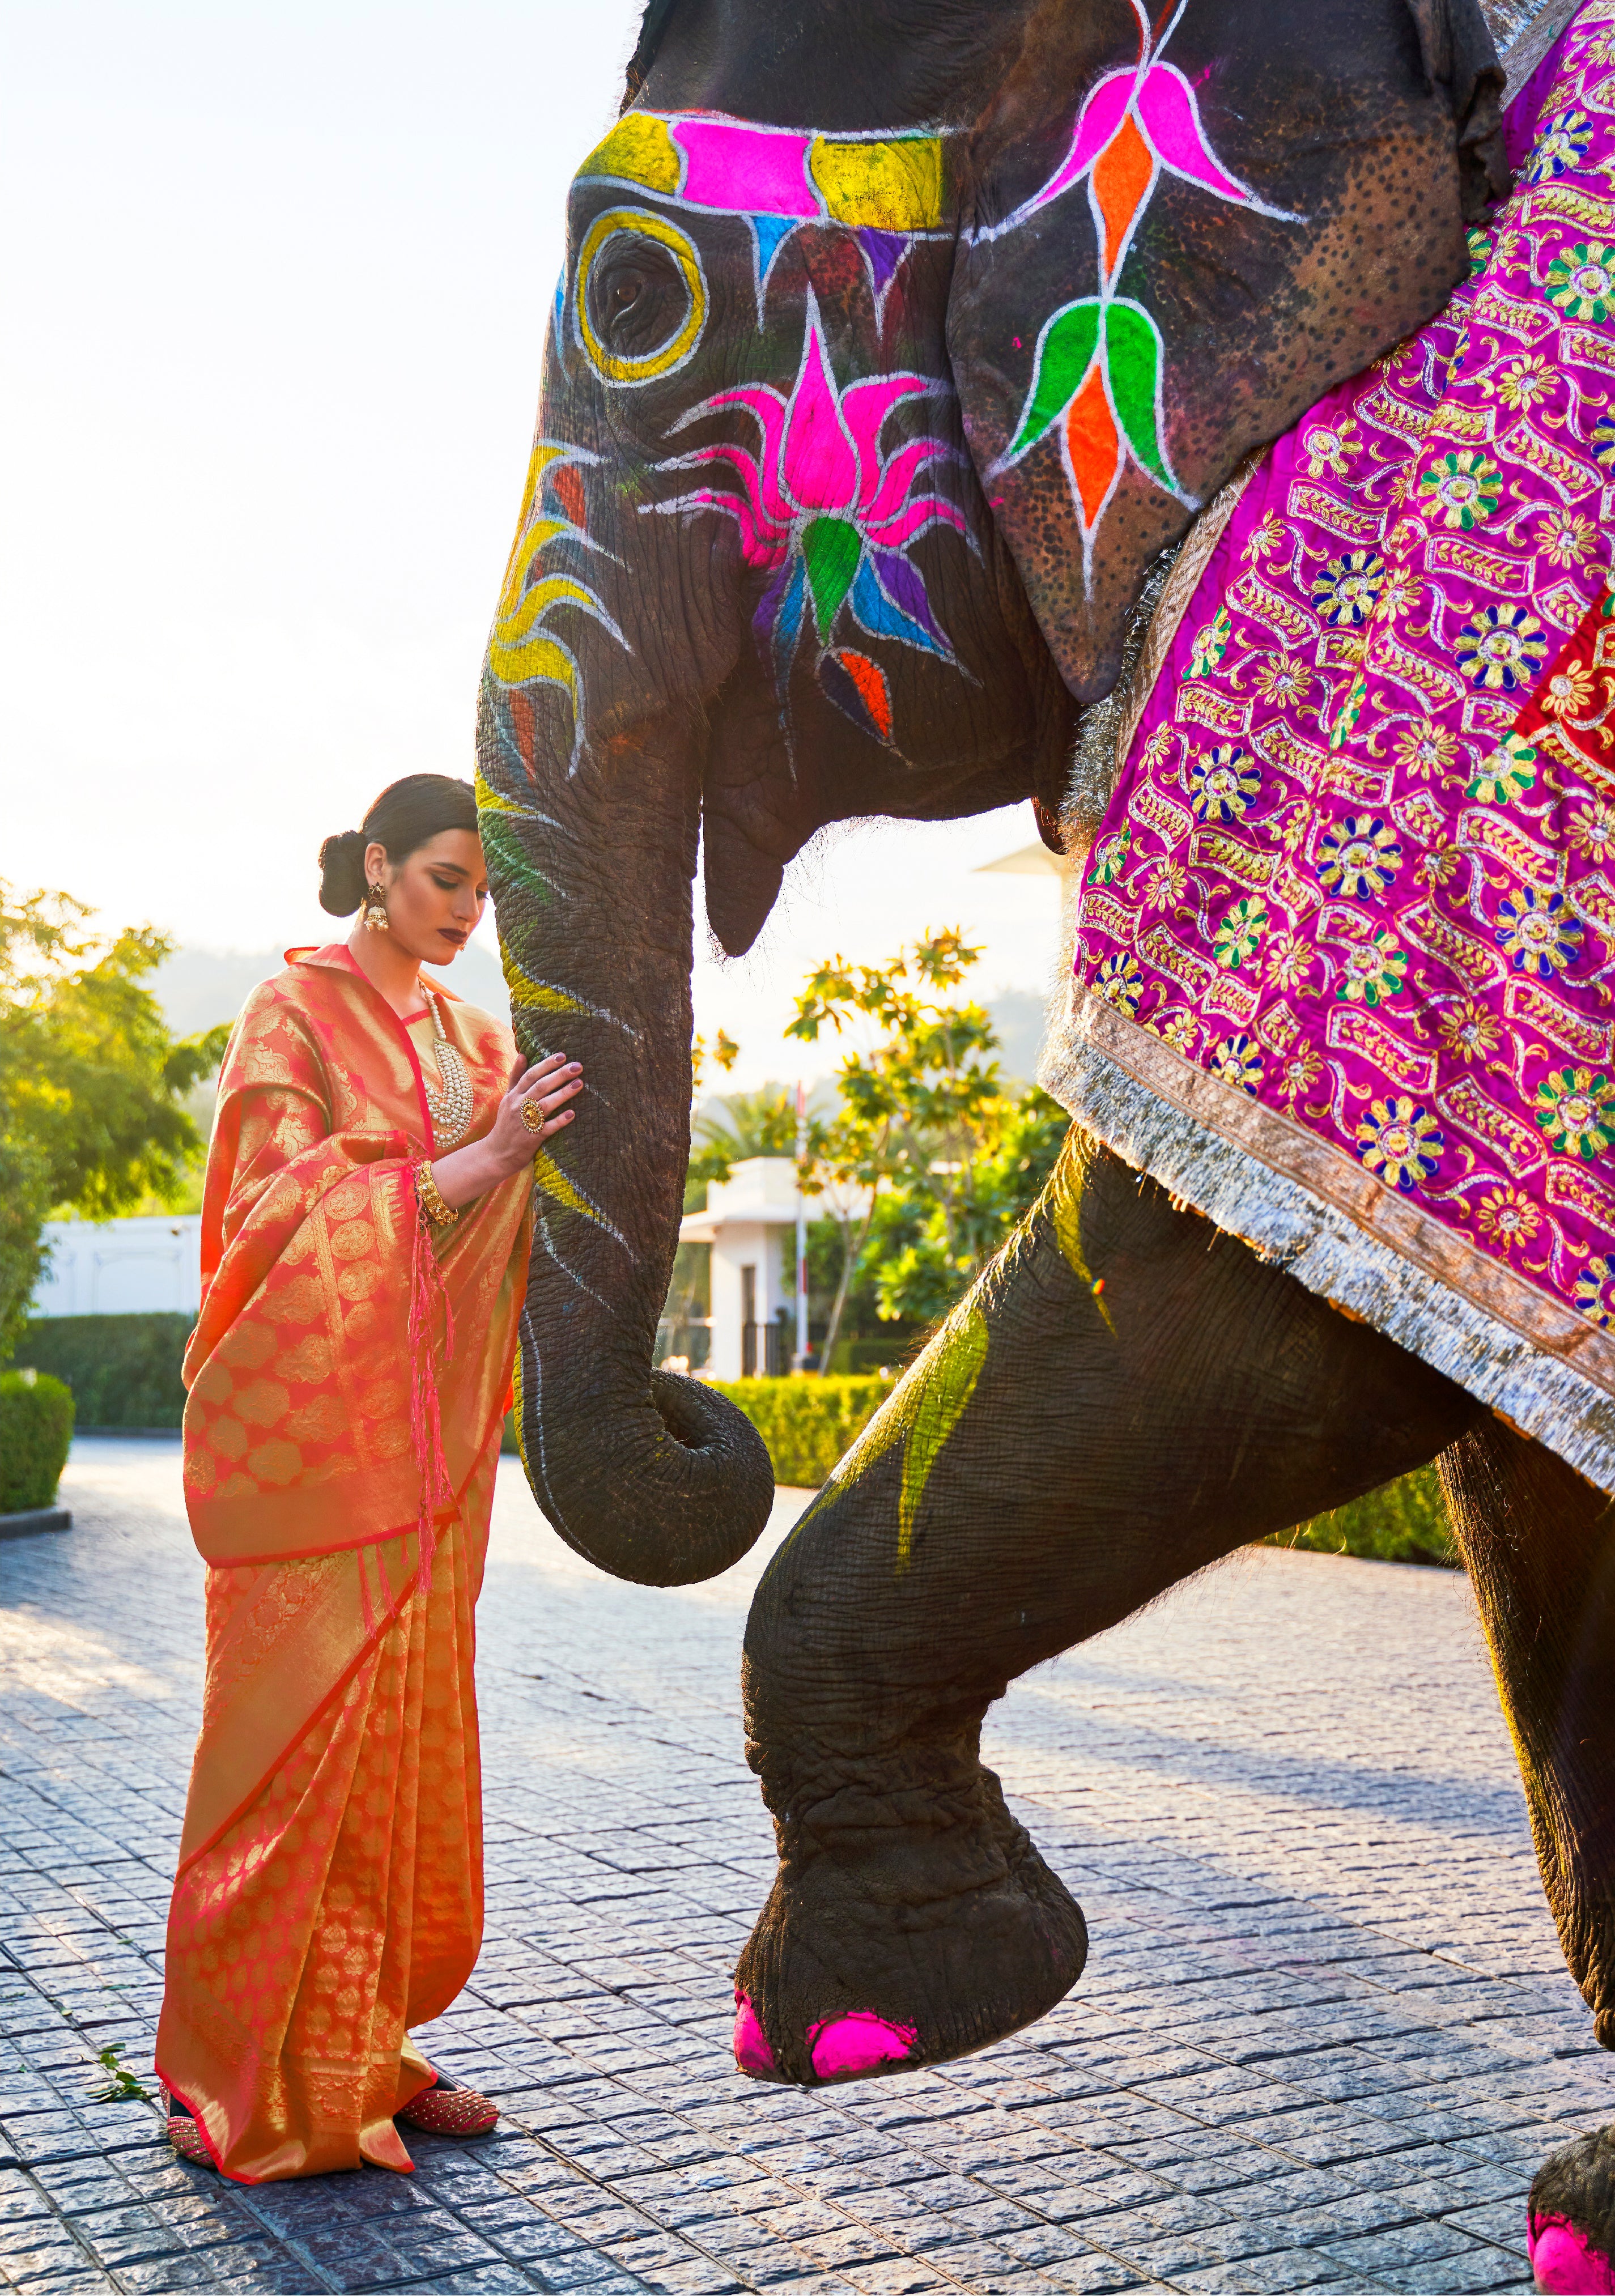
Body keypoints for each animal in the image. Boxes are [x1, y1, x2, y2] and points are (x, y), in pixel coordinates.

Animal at [471, 0, 1615, 2259]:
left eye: (631, 302)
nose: (710, 1422)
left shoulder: (1441, 666)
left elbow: (1245, 1290)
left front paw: (879, 2014)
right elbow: (1511, 1454)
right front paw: (1588, 2226)